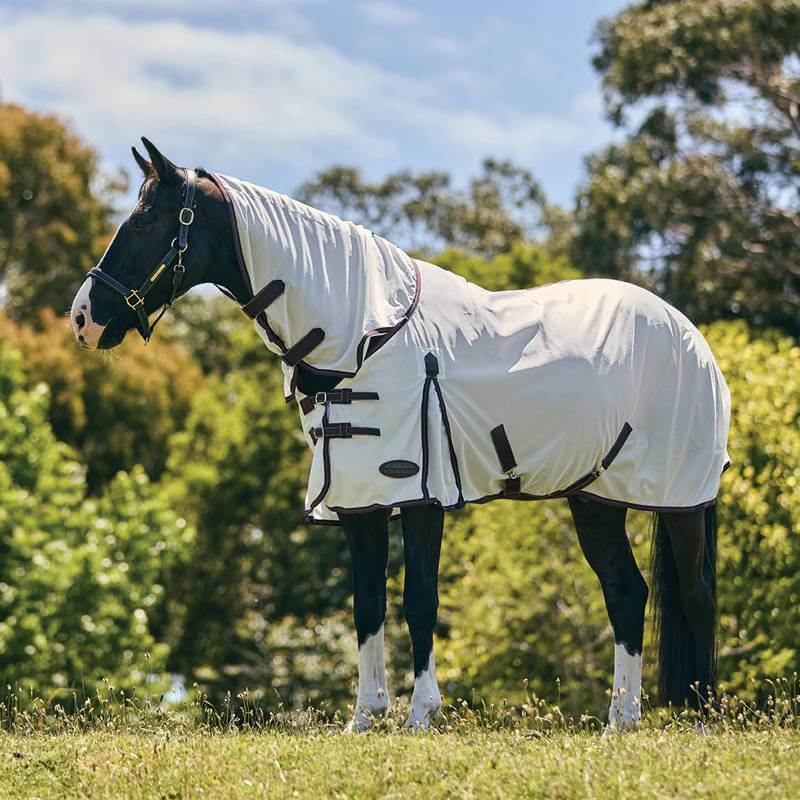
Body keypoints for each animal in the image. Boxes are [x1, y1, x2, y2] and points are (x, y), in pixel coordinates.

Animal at [70, 139, 730, 732]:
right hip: (595, 499)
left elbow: (419, 600)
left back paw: (700, 720)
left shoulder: (419, 495)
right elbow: (367, 605)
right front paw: (364, 717)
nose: (82, 319)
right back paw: (623, 721)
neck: (362, 334)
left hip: (680, 502)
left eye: (145, 221)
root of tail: (690, 334)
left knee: (695, 595)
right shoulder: (357, 500)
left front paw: (420, 715)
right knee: (627, 594)